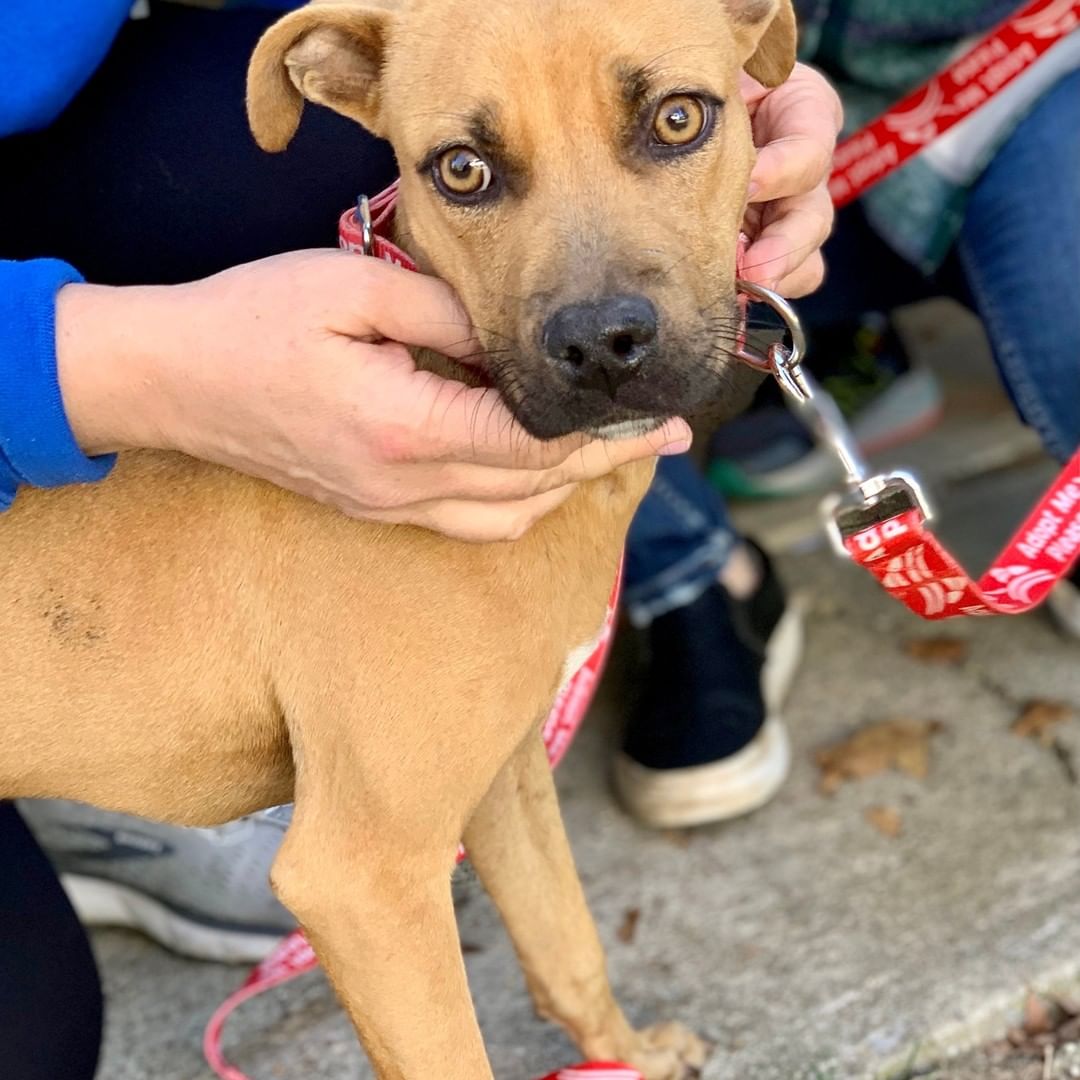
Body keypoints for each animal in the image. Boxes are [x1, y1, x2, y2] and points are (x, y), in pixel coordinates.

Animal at [0, 4, 794, 1075]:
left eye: (679, 117)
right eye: (461, 170)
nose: (600, 349)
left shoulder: (503, 770)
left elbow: (566, 943)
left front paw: (623, 1053)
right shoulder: (363, 877)